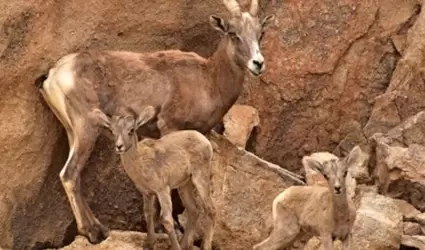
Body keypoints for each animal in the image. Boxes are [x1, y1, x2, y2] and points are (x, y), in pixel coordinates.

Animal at [91, 105, 214, 250]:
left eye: (131, 130)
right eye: (112, 131)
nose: (119, 146)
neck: (140, 164)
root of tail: (205, 141)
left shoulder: (162, 190)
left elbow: (166, 220)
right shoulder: (147, 193)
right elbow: (148, 214)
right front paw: (150, 243)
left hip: (200, 176)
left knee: (210, 210)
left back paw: (204, 245)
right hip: (184, 184)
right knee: (194, 210)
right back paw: (184, 244)